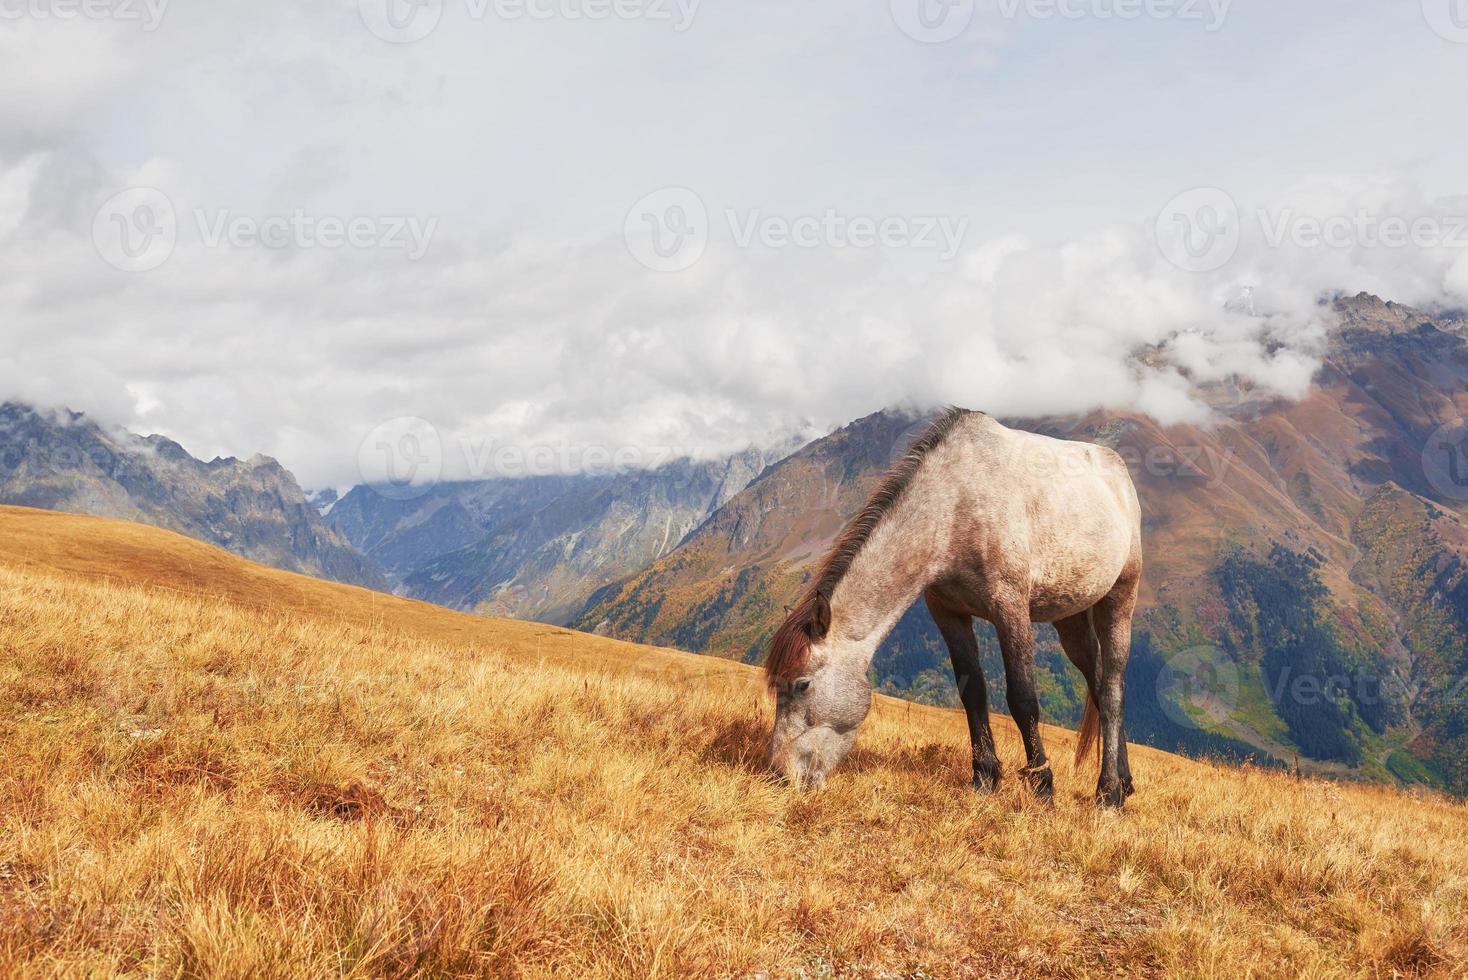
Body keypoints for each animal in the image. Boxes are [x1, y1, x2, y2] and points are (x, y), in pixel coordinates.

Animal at [769, 410, 1145, 809]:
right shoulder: (947, 612)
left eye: (802, 684)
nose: (779, 774)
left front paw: (1042, 785)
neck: (955, 505)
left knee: (1112, 688)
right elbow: (972, 691)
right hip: (1071, 620)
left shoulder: (1010, 607)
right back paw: (1124, 781)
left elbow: (1023, 698)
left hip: (1120, 597)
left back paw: (1109, 792)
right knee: (1097, 684)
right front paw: (985, 777)